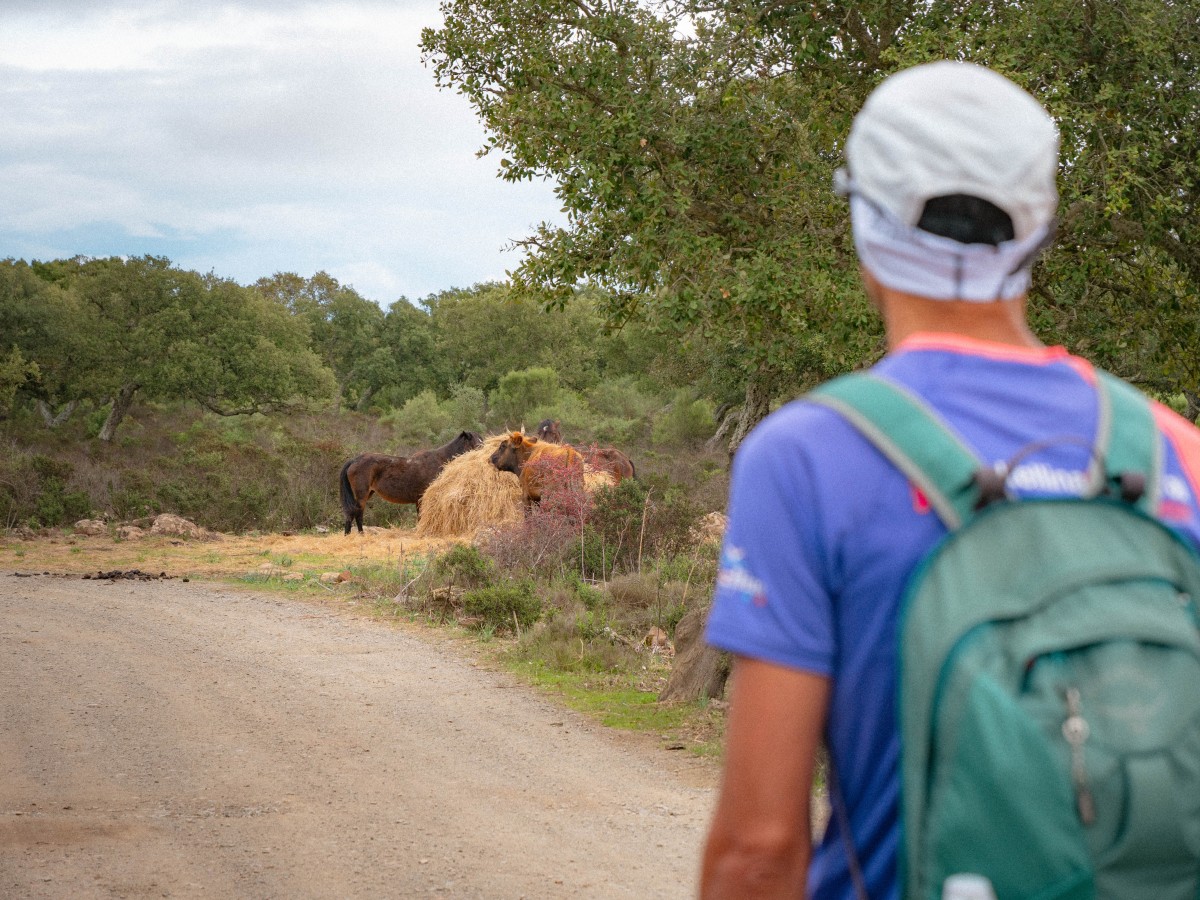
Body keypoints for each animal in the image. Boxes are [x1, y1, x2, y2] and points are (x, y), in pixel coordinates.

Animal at [338, 432, 482, 535]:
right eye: (477, 442)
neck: (439, 459)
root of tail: (355, 460)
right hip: (362, 494)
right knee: (356, 513)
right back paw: (359, 534)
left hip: (368, 493)